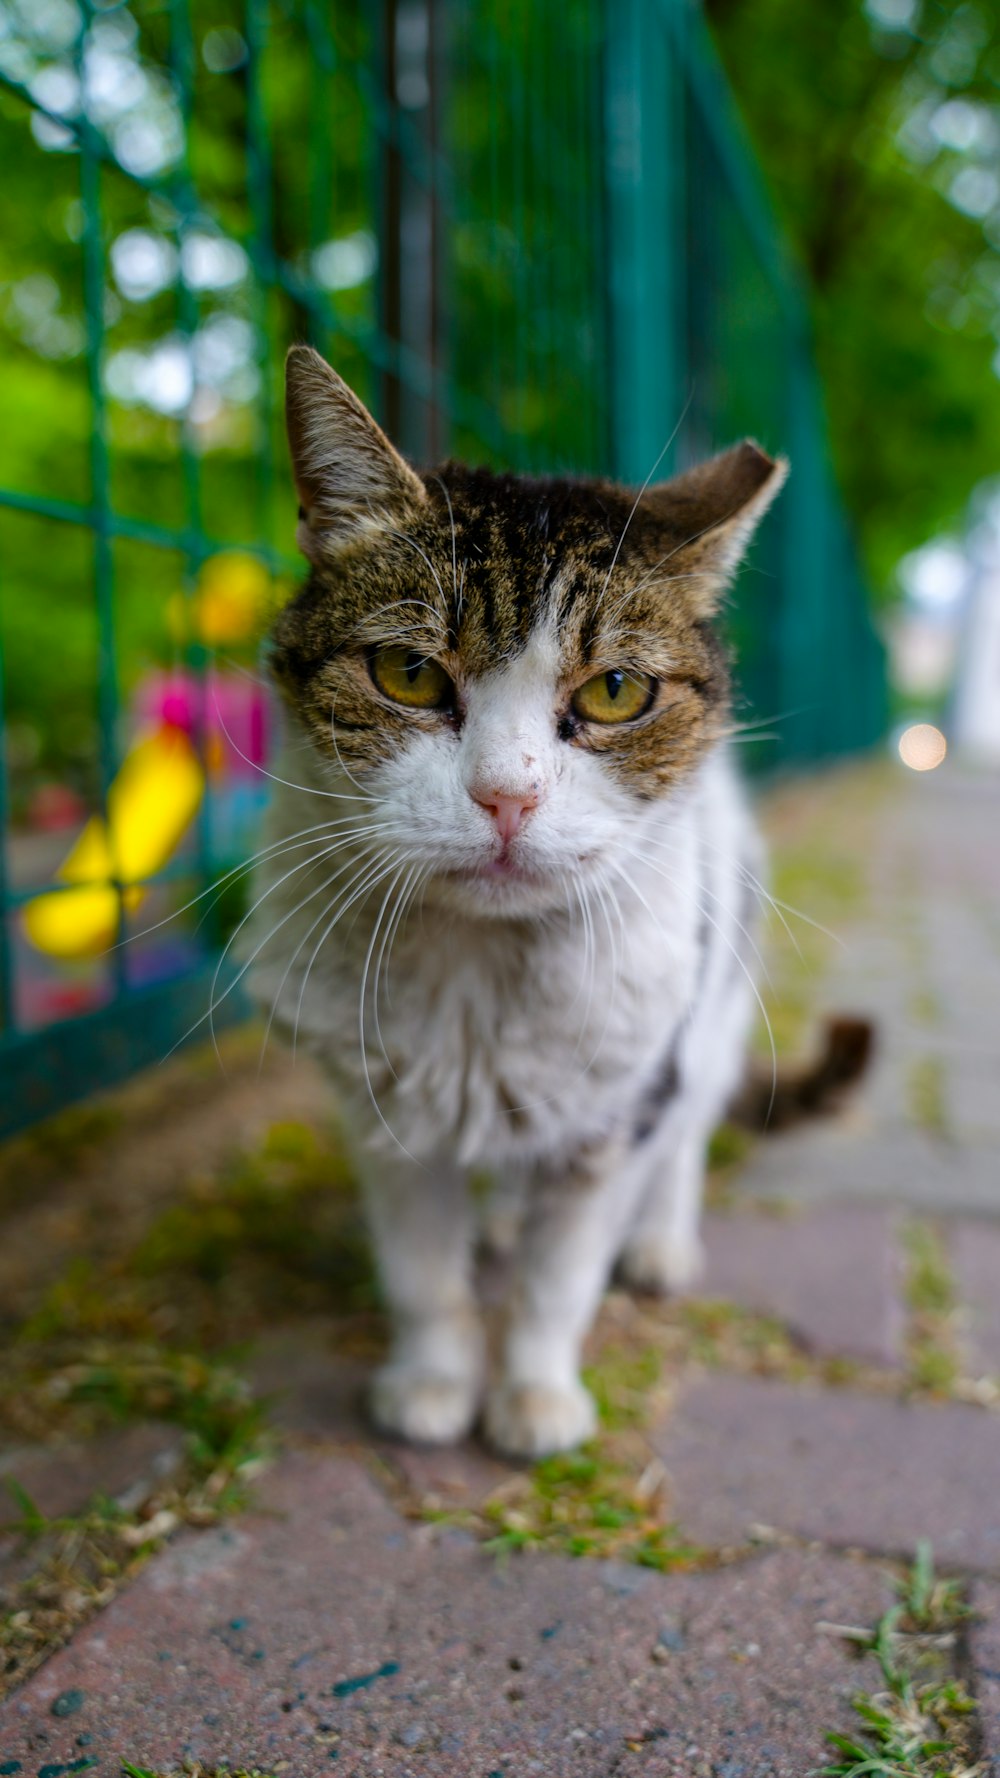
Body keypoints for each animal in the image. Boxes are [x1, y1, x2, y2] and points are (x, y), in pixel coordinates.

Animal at [243, 346, 786, 1457]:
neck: (477, 974)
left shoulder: (615, 1109)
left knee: (686, 1133)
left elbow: (557, 1280)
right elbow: (421, 1275)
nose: (506, 795)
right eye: (408, 671)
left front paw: (534, 1399)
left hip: (709, 1011)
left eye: (617, 690)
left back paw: (657, 1241)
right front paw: (432, 1383)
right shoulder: (380, 1109)